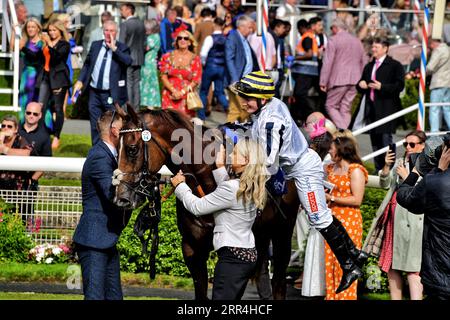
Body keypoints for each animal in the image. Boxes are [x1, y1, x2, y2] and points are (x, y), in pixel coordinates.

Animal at [112, 105, 300, 300]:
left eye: (132, 149)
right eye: (116, 148)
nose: (121, 198)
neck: (206, 182)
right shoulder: (192, 248)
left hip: (282, 234)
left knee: (278, 283)